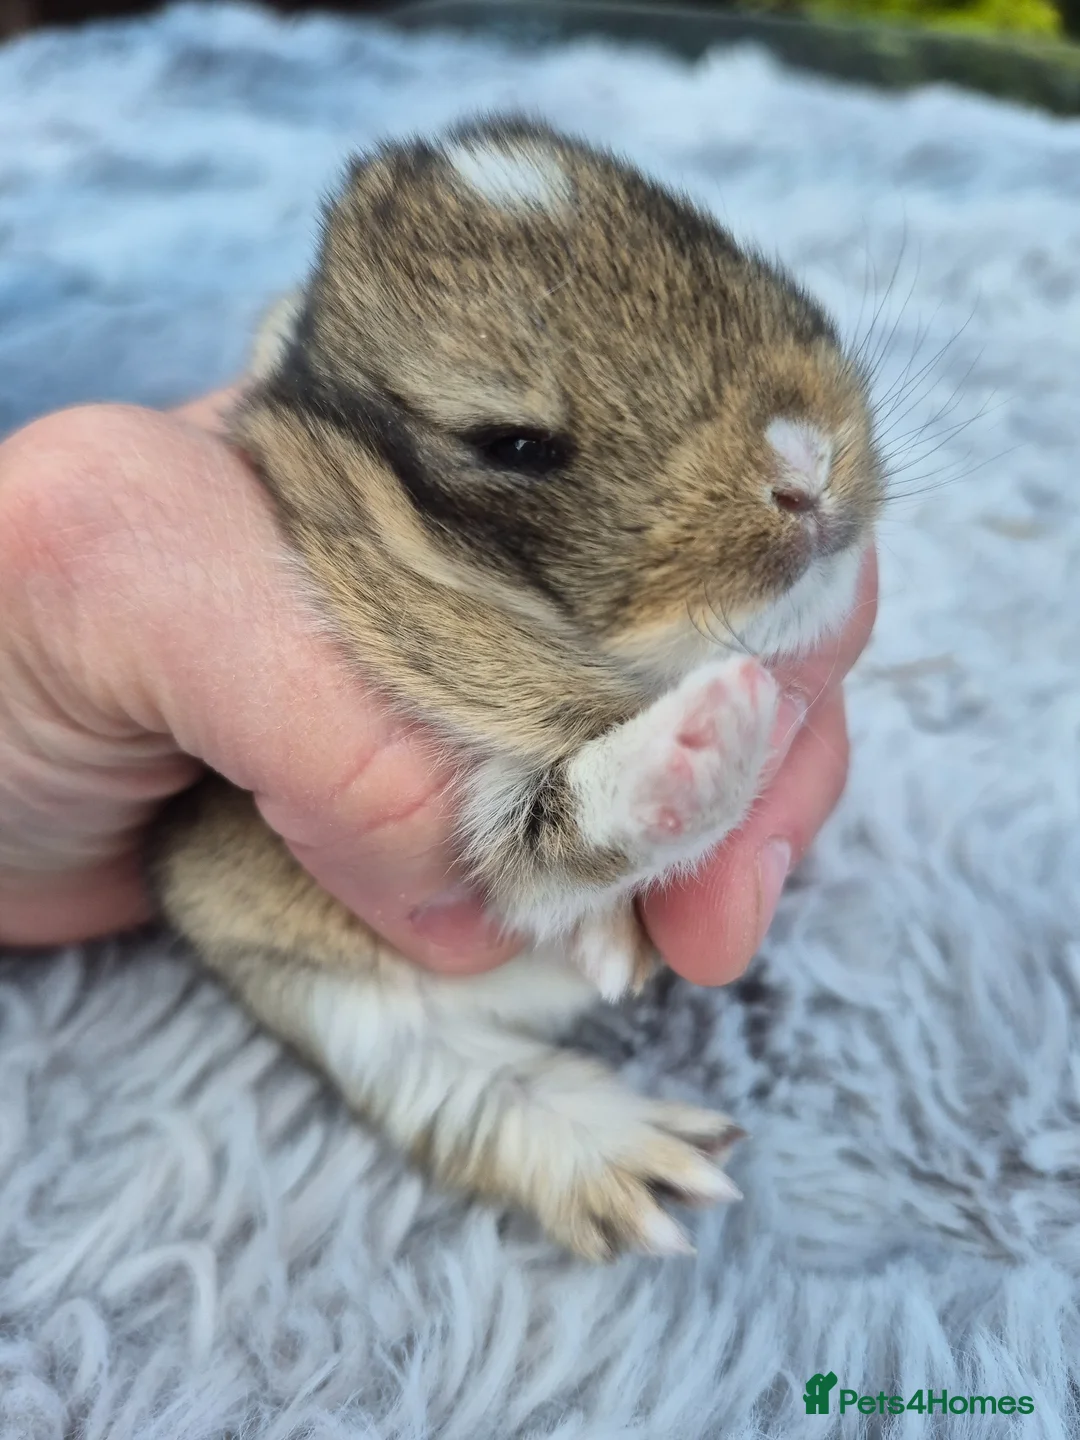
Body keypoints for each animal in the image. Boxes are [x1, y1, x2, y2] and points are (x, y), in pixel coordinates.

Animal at [150, 117, 883, 1261]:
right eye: (514, 443)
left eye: (719, 242)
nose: (805, 465)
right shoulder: (482, 842)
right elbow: (561, 837)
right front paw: (712, 733)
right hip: (342, 1007)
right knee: (466, 1093)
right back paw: (648, 1166)